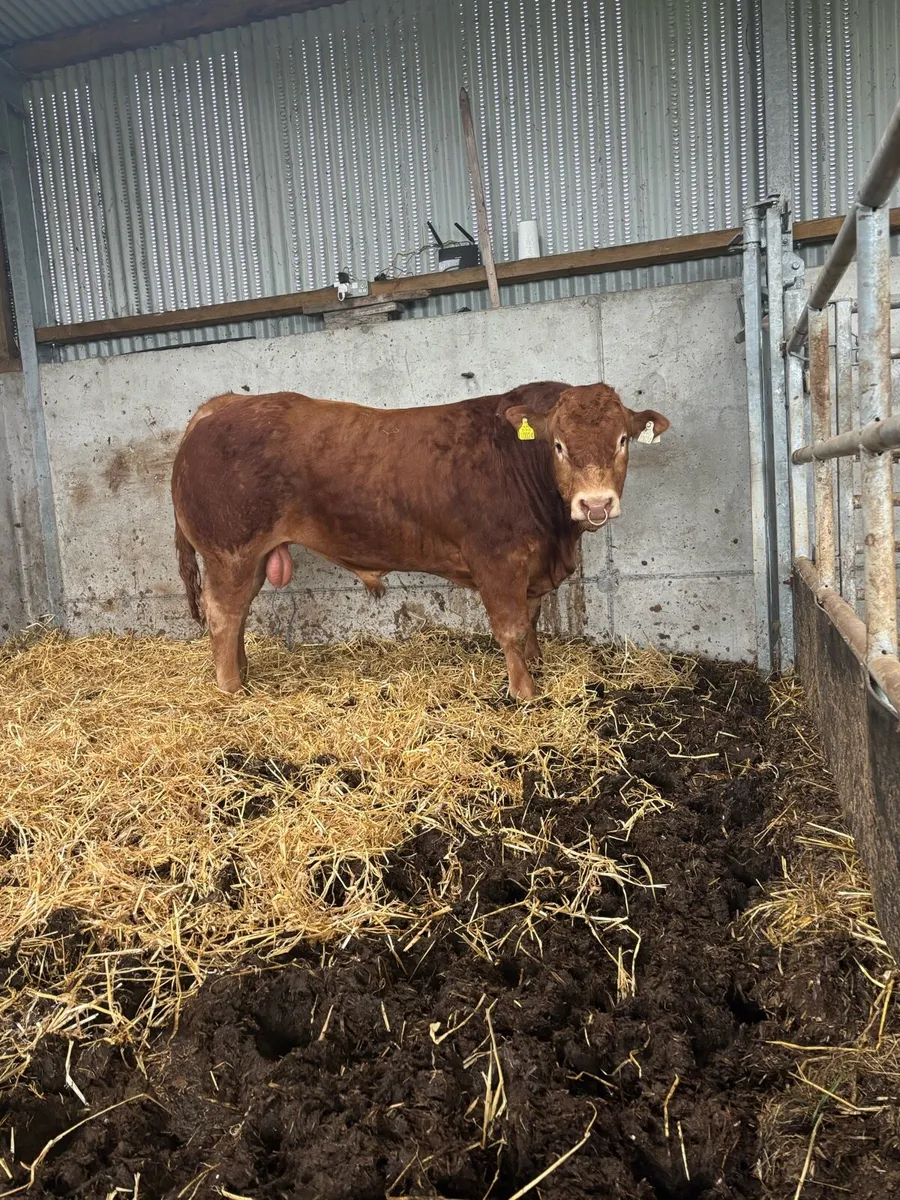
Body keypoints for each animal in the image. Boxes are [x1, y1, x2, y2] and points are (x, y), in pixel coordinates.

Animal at [171, 381, 669, 700]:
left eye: (623, 440)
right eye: (560, 445)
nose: (595, 504)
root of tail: (220, 406)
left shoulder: (529, 566)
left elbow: (530, 621)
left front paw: (538, 665)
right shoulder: (497, 559)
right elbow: (510, 627)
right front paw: (525, 691)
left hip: (250, 558)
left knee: (238, 614)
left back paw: (244, 672)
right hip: (230, 552)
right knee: (224, 614)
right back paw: (232, 688)